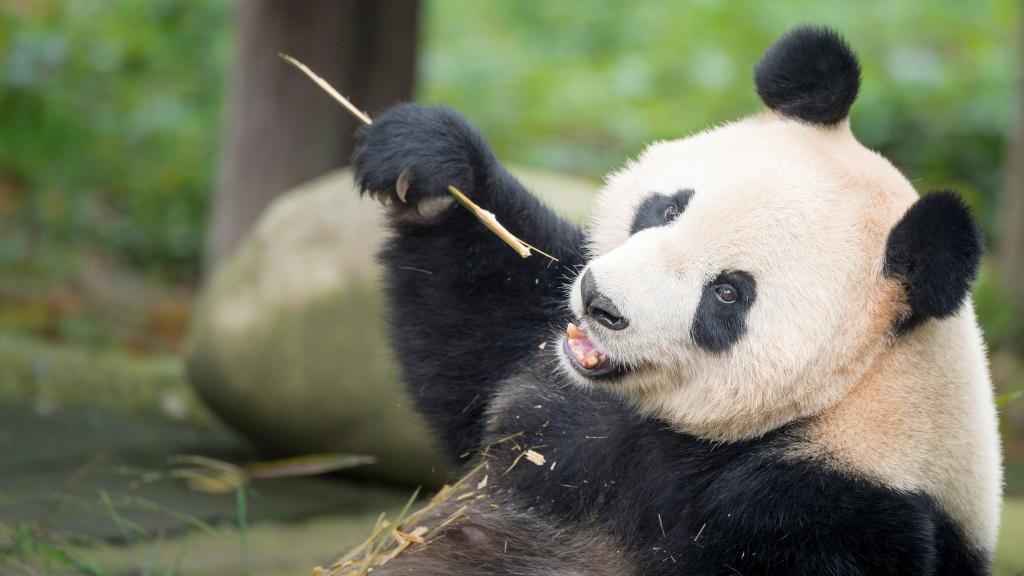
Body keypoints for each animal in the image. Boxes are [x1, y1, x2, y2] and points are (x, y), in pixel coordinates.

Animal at [349, 26, 1002, 575]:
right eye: (668, 209)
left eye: (728, 292)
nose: (599, 302)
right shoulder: (545, 379)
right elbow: (475, 335)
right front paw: (427, 161)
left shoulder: (835, 508)